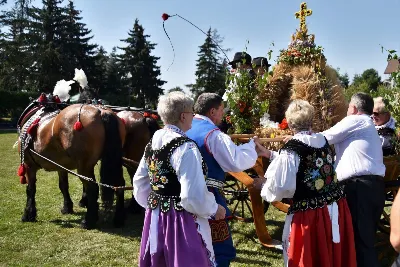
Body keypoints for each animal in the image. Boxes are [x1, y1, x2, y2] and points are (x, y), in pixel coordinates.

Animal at [17, 102, 125, 230]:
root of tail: (101, 111)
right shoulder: (61, 167)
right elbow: (63, 186)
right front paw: (67, 207)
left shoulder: (29, 165)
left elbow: (30, 190)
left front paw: (28, 214)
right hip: (112, 161)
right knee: (119, 185)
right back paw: (119, 218)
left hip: (84, 167)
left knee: (92, 188)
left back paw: (88, 221)